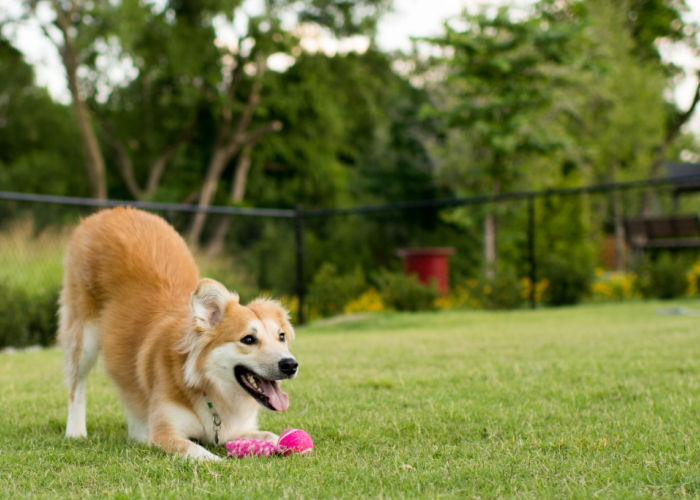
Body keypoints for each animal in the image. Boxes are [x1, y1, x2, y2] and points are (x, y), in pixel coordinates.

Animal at [58, 208, 298, 460]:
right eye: (248, 339)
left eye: (281, 337)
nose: (290, 365)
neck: (209, 387)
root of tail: (111, 212)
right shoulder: (165, 434)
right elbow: (197, 450)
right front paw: (217, 461)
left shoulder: (238, 430)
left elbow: (272, 435)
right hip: (83, 337)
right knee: (76, 387)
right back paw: (76, 431)